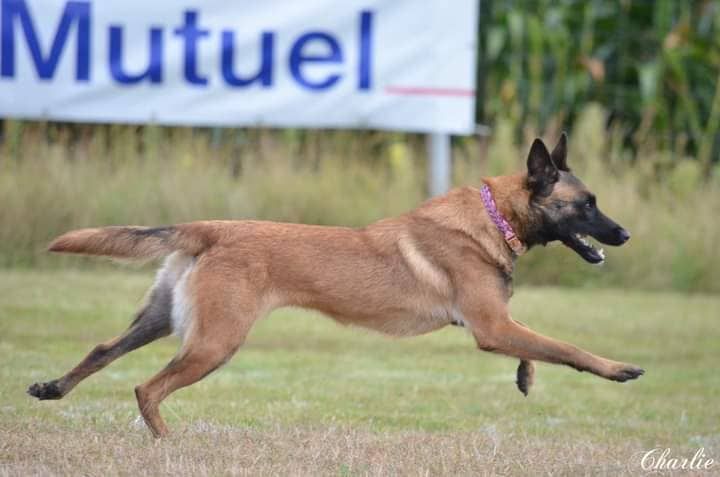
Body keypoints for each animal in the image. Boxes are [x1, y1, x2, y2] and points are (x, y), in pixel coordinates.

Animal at [31, 133, 644, 436]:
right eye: (587, 205)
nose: (625, 233)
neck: (494, 217)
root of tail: (213, 227)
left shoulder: (495, 320)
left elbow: (538, 346)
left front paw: (525, 376)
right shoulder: (490, 325)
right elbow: (565, 346)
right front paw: (617, 369)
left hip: (163, 320)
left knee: (102, 350)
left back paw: (52, 389)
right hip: (214, 343)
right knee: (147, 389)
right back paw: (165, 441)